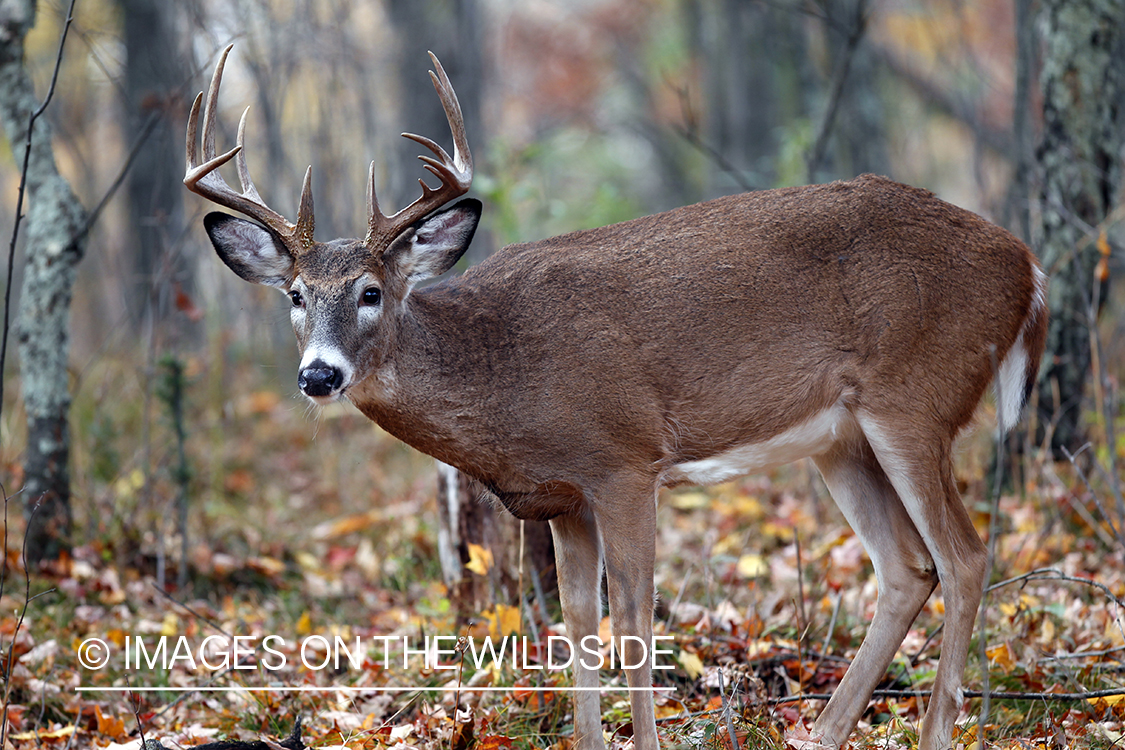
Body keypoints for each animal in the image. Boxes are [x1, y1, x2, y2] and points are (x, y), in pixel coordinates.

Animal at [184, 46, 1044, 750]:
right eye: (295, 295)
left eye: (369, 291)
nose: (318, 376)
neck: (501, 369)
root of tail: (1026, 267)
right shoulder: (563, 495)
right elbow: (578, 624)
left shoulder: (624, 459)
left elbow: (632, 620)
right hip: (840, 438)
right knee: (907, 568)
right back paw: (823, 735)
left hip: (914, 396)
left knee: (963, 556)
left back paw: (934, 732)